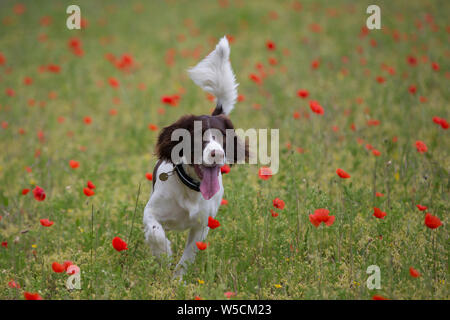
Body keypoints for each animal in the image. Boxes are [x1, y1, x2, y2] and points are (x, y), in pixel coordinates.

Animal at [143, 35, 248, 276]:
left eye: (222, 138)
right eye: (200, 137)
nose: (217, 154)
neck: (190, 188)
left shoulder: (201, 226)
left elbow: (187, 257)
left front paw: (176, 280)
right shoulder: (151, 211)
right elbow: (155, 232)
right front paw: (164, 253)